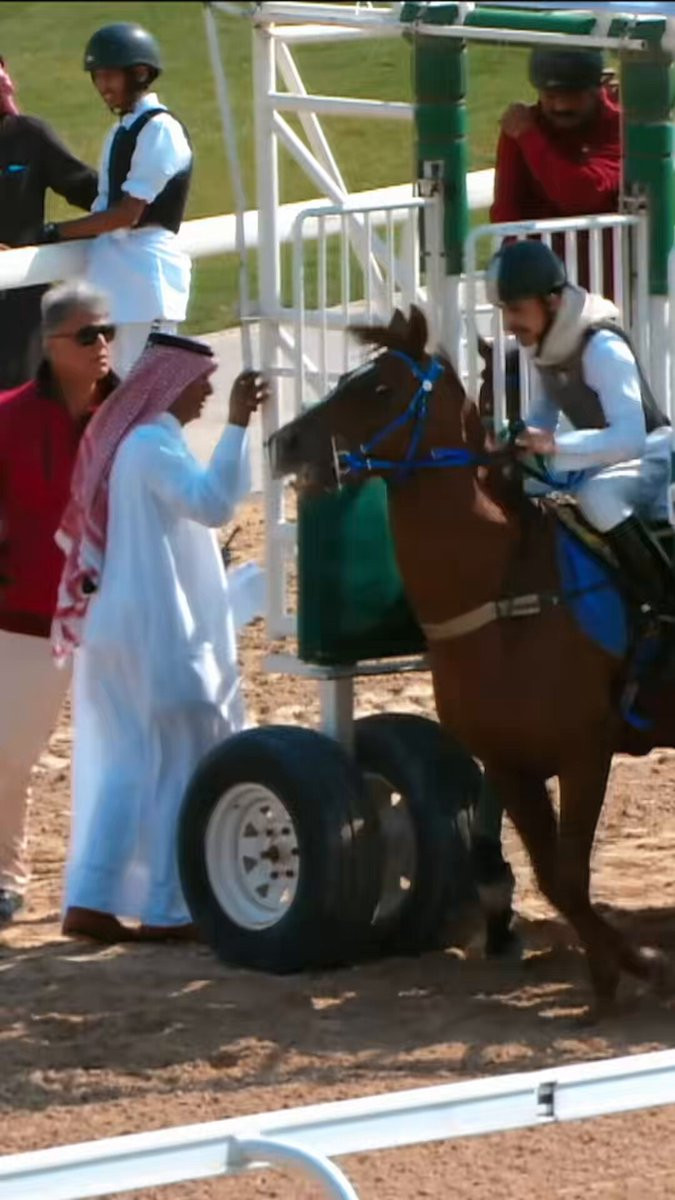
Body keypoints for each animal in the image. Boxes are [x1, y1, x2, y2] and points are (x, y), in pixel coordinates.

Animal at [268, 304, 675, 1012]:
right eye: (344, 378)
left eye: (379, 388)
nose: (284, 442)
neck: (503, 589)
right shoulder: (508, 761)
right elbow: (555, 879)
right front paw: (622, 967)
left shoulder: (584, 750)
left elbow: (570, 873)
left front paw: (635, 966)